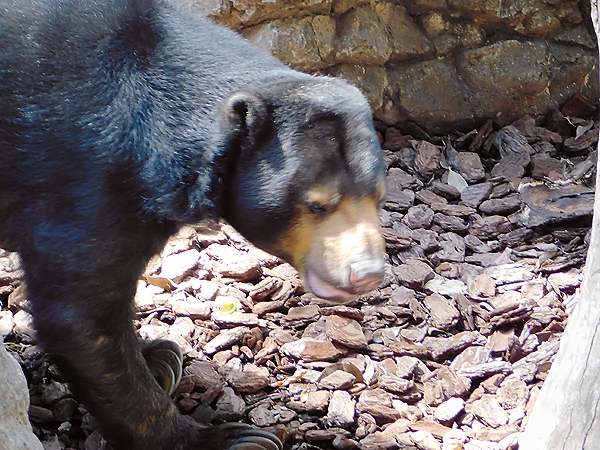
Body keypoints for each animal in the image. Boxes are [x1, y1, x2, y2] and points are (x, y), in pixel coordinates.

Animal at [0, 0, 386, 450]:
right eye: (317, 204)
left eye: (378, 196)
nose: (367, 274)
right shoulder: (84, 175)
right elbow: (79, 312)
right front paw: (230, 438)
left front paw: (158, 356)